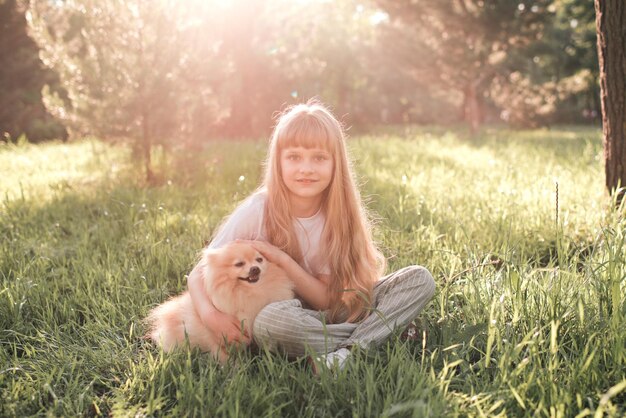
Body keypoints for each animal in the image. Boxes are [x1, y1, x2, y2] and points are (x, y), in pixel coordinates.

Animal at [146, 242, 292, 362]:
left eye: (259, 259)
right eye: (239, 264)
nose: (255, 268)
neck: (249, 292)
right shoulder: (215, 333)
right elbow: (222, 354)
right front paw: (232, 368)